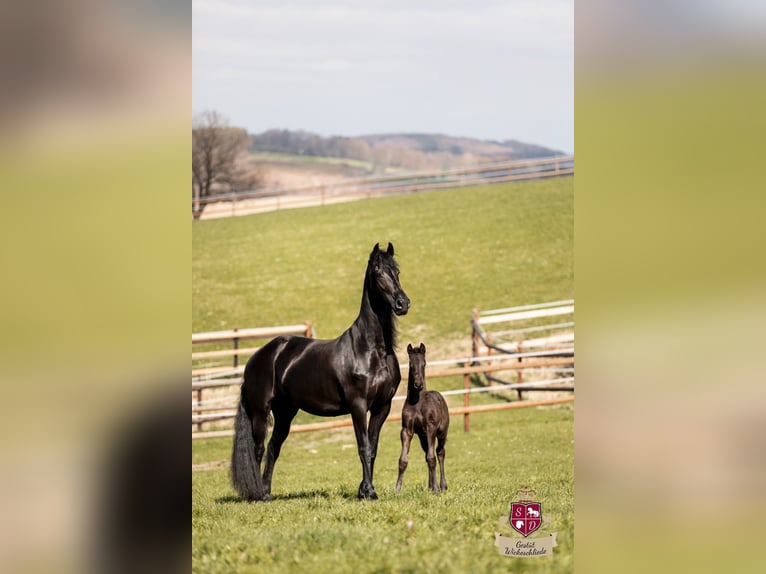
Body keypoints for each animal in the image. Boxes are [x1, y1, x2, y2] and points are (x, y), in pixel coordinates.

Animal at [231, 242, 410, 501]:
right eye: (378, 274)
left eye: (397, 272)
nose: (402, 304)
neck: (372, 349)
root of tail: (257, 357)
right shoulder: (358, 406)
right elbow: (363, 447)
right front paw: (367, 492)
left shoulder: (382, 407)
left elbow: (373, 449)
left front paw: (365, 489)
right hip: (261, 412)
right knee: (258, 450)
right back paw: (256, 493)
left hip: (285, 412)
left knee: (273, 448)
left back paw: (266, 493)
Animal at [395, 342, 449, 494]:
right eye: (411, 364)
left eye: (424, 363)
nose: (418, 384)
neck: (417, 403)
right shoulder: (406, 430)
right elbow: (403, 460)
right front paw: (397, 489)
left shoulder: (430, 428)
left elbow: (432, 458)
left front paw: (436, 490)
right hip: (422, 437)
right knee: (427, 455)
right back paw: (430, 486)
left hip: (442, 432)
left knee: (440, 453)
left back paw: (442, 486)